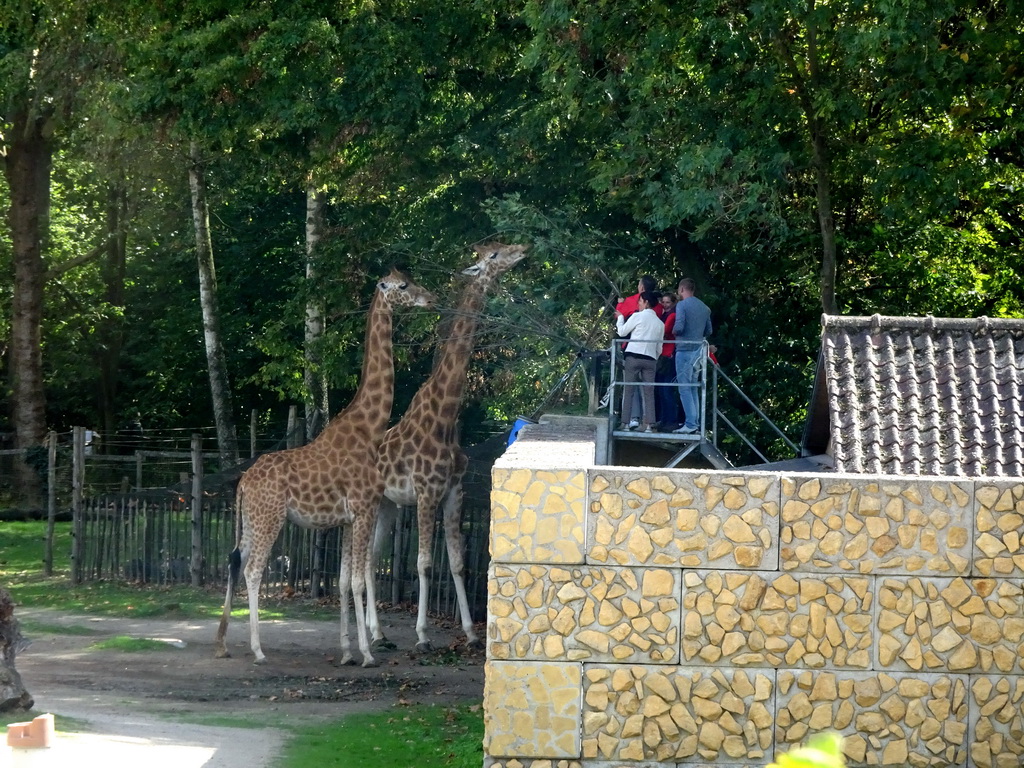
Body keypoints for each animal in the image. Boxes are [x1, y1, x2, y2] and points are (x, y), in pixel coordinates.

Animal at [214, 268, 438, 667]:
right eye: (402, 286)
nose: (431, 299)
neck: (370, 428)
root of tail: (242, 483)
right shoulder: (365, 509)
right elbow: (359, 580)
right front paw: (366, 653)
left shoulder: (348, 519)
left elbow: (345, 580)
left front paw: (347, 652)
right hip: (270, 518)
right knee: (254, 571)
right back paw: (257, 650)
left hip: (252, 520)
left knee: (235, 560)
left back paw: (223, 644)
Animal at [368, 243, 528, 651]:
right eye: (493, 256)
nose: (522, 250)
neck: (445, 417)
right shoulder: (426, 492)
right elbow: (424, 563)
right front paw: (423, 635)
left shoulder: (453, 491)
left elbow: (457, 562)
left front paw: (471, 634)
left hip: (388, 505)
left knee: (370, 559)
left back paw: (379, 634)